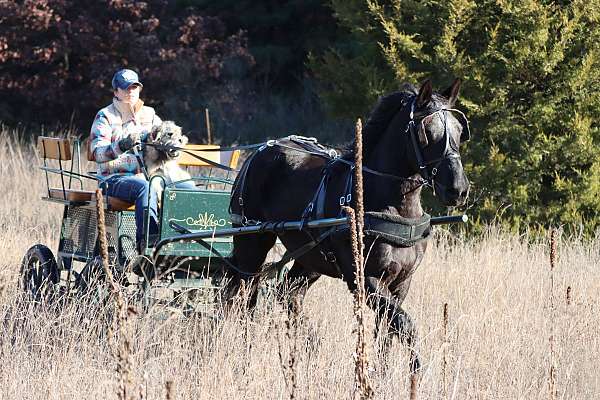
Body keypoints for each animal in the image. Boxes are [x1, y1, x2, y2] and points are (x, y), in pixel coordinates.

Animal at [227, 79, 472, 374]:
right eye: (427, 132)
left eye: (459, 131)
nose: (458, 189)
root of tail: (260, 152)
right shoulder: (365, 279)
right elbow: (405, 325)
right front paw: (417, 372)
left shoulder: (402, 282)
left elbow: (387, 334)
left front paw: (383, 373)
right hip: (251, 243)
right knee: (244, 297)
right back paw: (242, 356)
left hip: (311, 258)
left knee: (288, 295)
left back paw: (310, 347)